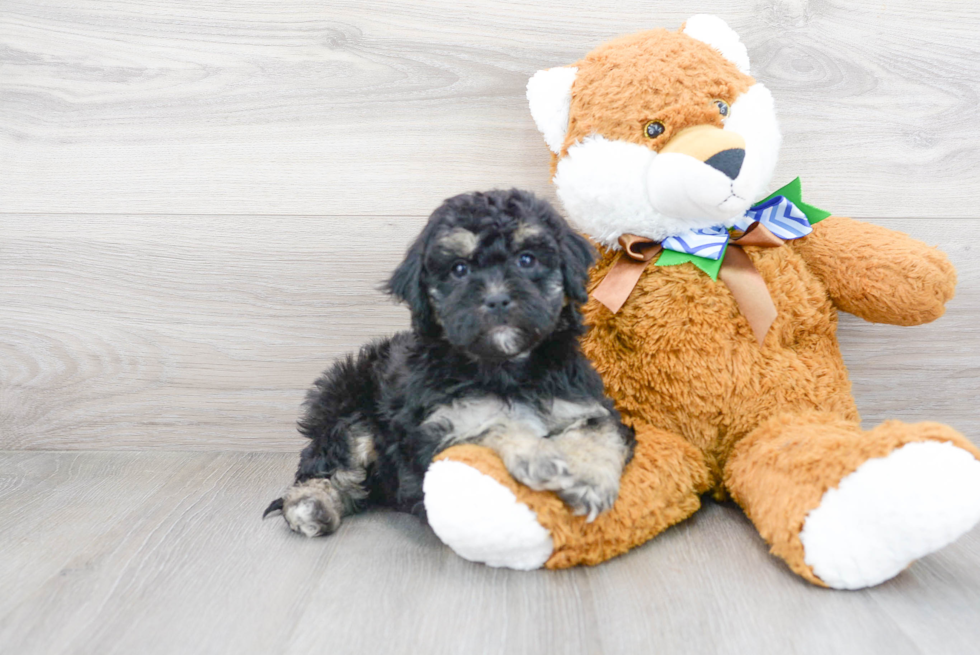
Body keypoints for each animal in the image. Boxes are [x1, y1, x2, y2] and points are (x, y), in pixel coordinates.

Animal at [266, 190, 636, 540]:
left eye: (526, 259)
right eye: (459, 269)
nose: (496, 299)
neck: (504, 369)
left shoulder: (583, 403)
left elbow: (600, 430)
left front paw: (588, 480)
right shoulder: (435, 430)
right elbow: (490, 424)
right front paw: (539, 457)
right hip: (348, 405)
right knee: (328, 462)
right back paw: (311, 505)